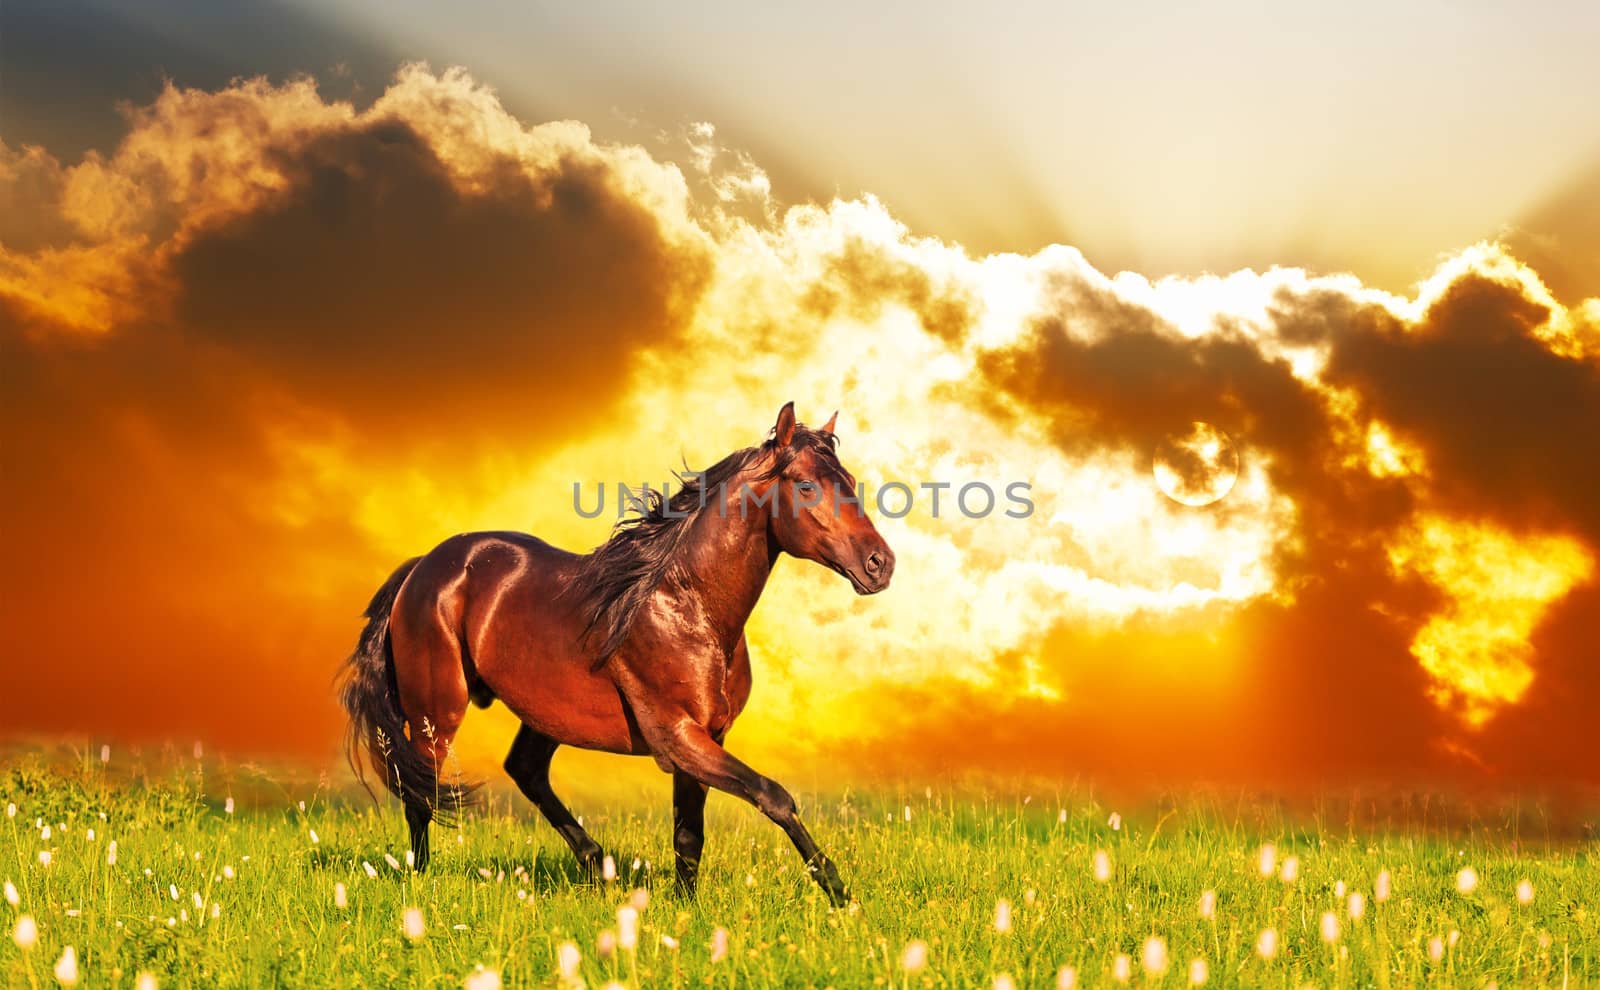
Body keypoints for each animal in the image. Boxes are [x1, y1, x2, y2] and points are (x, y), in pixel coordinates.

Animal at [339, 404, 896, 908]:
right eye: (805, 485)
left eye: (849, 479)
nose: (880, 564)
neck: (688, 606)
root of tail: (422, 567)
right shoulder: (679, 737)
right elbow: (774, 795)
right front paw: (839, 893)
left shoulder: (706, 737)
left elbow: (689, 835)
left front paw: (686, 912)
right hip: (436, 712)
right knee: (420, 792)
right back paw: (422, 885)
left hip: (543, 715)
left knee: (524, 770)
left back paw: (596, 863)